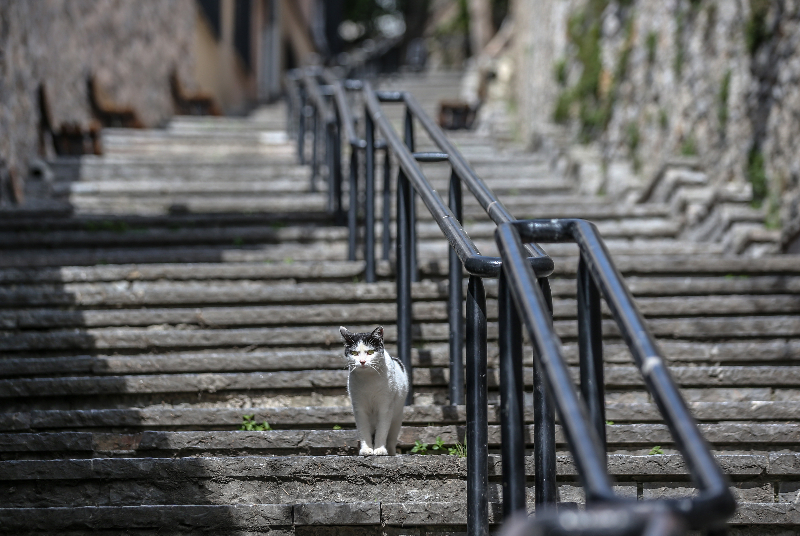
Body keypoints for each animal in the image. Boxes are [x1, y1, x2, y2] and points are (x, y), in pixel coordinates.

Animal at [340, 324, 410, 454]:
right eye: (354, 353)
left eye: (370, 352)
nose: (362, 361)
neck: (369, 380)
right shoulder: (359, 408)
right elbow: (363, 430)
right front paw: (366, 449)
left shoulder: (385, 407)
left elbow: (382, 430)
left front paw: (379, 449)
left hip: (397, 420)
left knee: (391, 440)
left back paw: (391, 452)